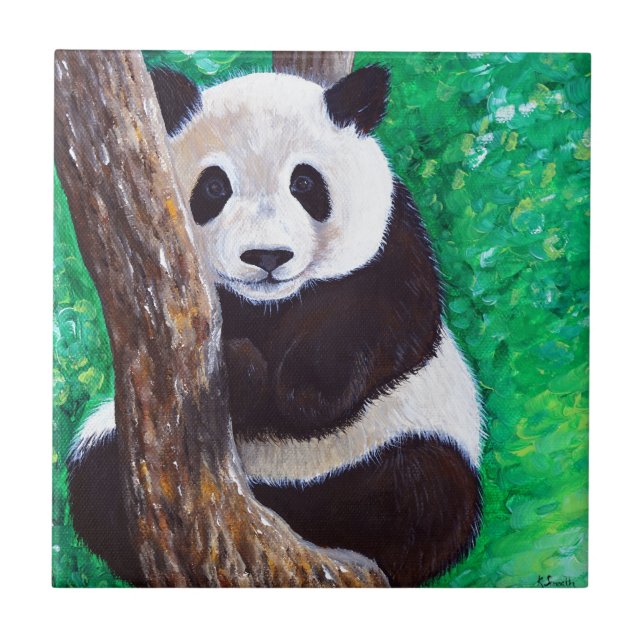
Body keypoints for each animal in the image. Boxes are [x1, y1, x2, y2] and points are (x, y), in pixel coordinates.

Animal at [67, 64, 484, 587]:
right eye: (214, 187)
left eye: (304, 183)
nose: (266, 256)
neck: (270, 307)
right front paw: (239, 368)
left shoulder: (393, 240)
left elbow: (388, 318)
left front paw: (296, 388)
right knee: (97, 477)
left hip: (407, 435)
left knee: (422, 490)